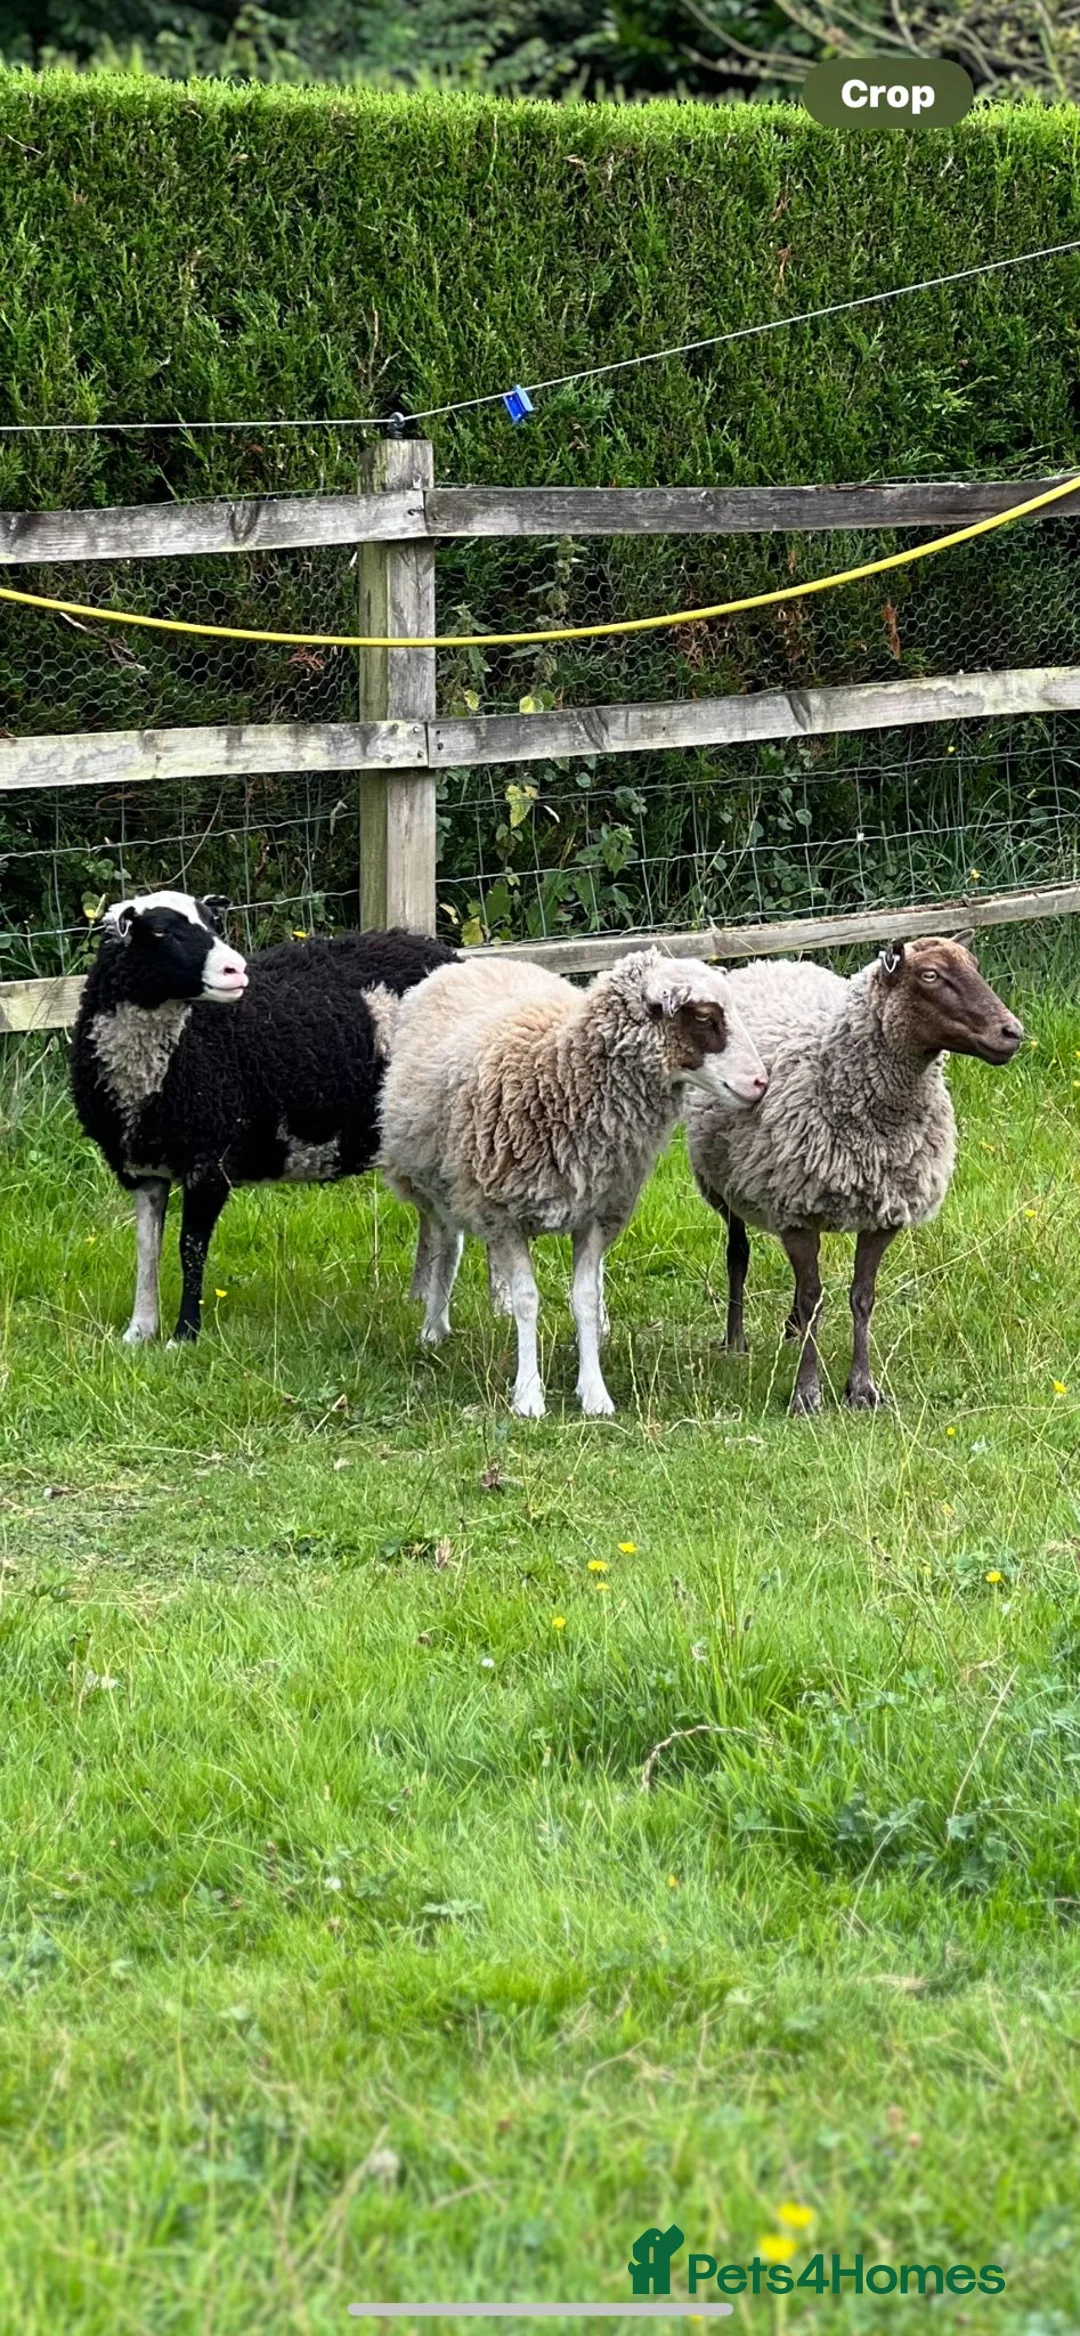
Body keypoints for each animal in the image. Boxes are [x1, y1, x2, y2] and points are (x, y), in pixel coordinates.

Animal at [70, 890, 455, 1345]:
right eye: (161, 932)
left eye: (212, 924)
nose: (235, 969)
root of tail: (443, 953)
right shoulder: (142, 1169)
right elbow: (147, 1247)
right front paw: (139, 1331)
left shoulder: (211, 1161)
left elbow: (190, 1248)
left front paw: (184, 1335)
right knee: (433, 1219)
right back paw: (419, 1295)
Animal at [378, 946, 769, 1418]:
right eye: (706, 1017)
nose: (761, 1083)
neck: (558, 1079)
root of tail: (473, 962)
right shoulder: (502, 1213)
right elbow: (527, 1300)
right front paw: (528, 1395)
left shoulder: (598, 1213)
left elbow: (582, 1298)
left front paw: (594, 1391)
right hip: (432, 1180)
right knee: (444, 1244)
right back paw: (434, 1326)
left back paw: (598, 1324)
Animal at [685, 935, 1024, 1415]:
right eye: (930, 975)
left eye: (974, 966)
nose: (1012, 1033)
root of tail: (773, 961)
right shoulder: (795, 1210)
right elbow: (812, 1298)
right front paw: (806, 1393)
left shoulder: (884, 1213)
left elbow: (861, 1297)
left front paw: (862, 1388)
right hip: (724, 1184)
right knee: (739, 1254)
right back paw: (736, 1340)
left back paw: (791, 1330)